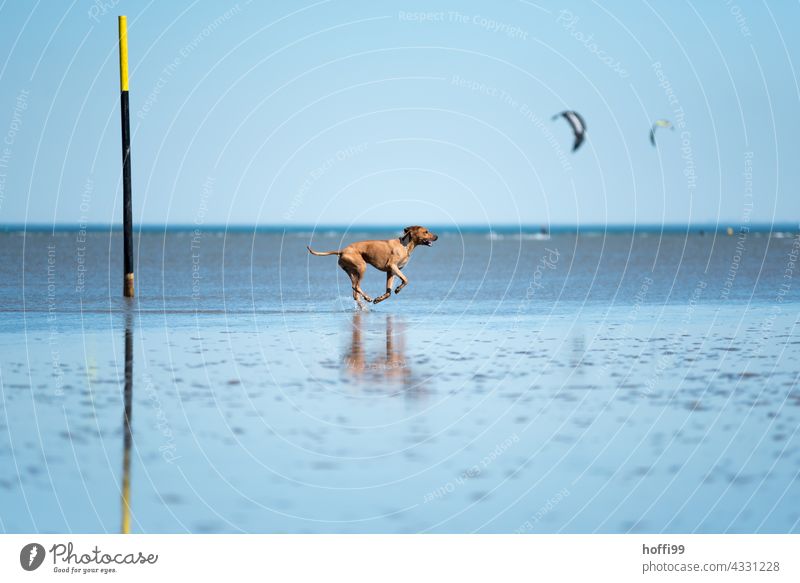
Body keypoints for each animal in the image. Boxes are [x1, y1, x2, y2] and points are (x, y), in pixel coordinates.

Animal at [306, 226, 438, 308]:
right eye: (426, 231)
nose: (437, 236)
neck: (405, 245)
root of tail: (342, 251)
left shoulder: (391, 272)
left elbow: (388, 292)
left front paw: (379, 298)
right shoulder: (392, 266)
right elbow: (406, 280)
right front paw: (398, 289)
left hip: (352, 271)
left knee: (355, 291)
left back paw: (362, 305)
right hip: (362, 266)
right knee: (356, 287)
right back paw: (367, 298)